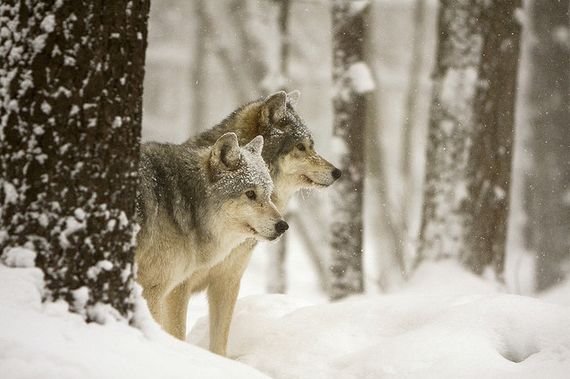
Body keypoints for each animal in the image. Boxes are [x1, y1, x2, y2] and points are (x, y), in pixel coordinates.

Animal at [163, 90, 342, 358]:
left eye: (312, 146)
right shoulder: (176, 289)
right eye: (301, 147)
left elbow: (219, 345)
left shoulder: (227, 283)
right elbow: (176, 334)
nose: (338, 172)